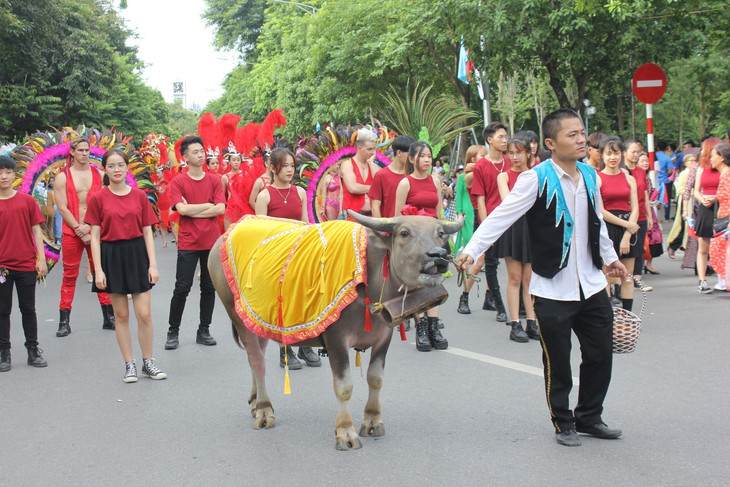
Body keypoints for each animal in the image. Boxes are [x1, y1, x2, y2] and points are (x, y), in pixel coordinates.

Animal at [208, 212, 464, 452]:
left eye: (441, 233)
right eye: (404, 233)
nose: (438, 255)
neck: (368, 280)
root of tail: (226, 233)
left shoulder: (384, 336)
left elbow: (376, 379)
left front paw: (373, 421)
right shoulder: (336, 340)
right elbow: (344, 387)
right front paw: (346, 432)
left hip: (257, 321)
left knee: (255, 357)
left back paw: (255, 402)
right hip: (237, 316)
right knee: (258, 362)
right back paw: (263, 411)